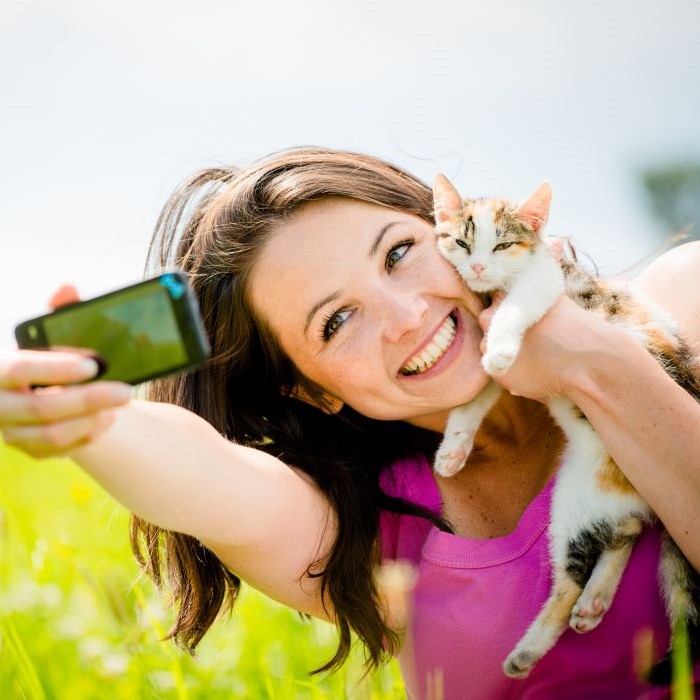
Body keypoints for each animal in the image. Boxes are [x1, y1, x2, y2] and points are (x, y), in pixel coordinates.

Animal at [432, 175, 700, 684]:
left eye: (503, 245)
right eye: (461, 242)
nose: (477, 266)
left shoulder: (546, 281)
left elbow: (516, 310)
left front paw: (499, 349)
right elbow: (477, 396)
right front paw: (453, 448)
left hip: (575, 499)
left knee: (573, 574)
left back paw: (529, 648)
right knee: (624, 531)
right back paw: (592, 604)